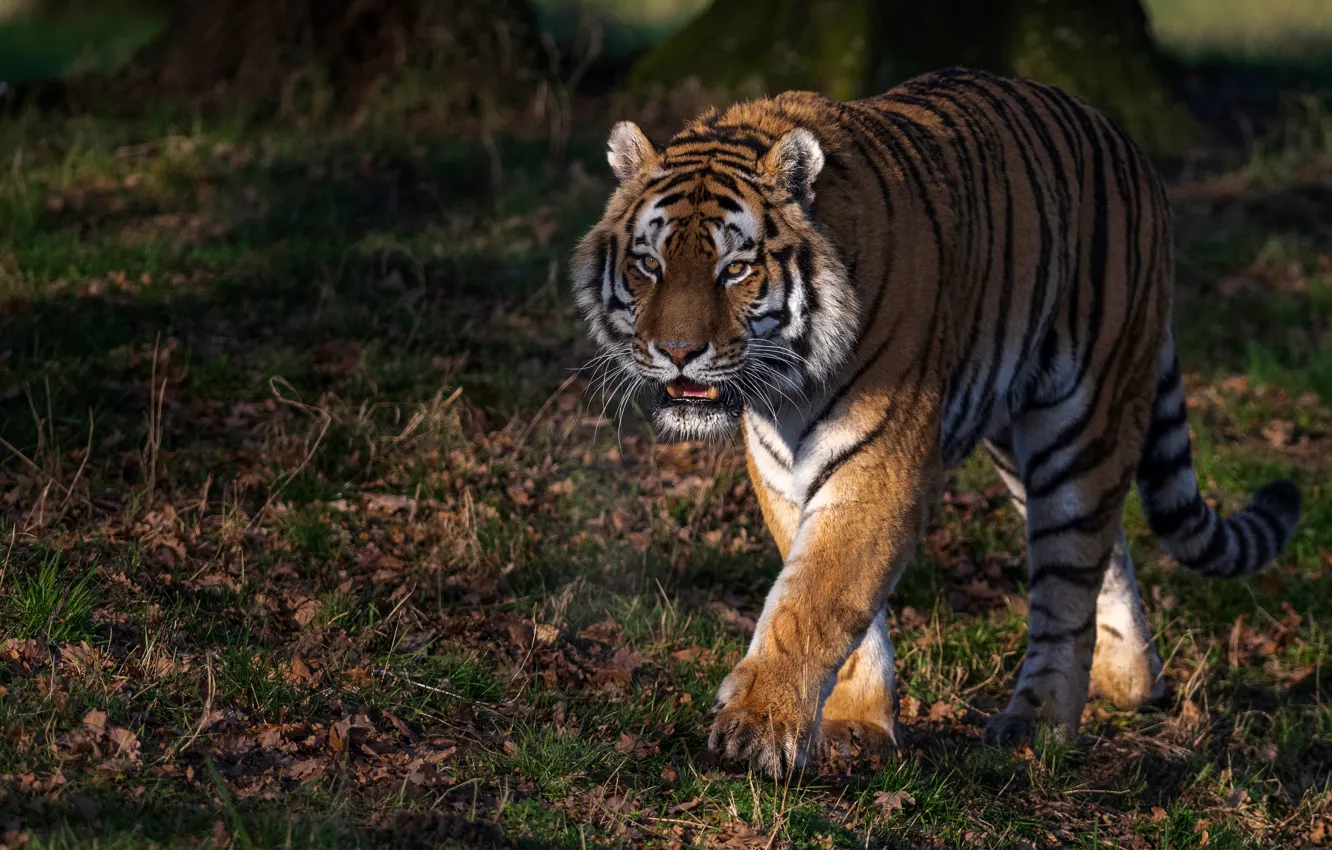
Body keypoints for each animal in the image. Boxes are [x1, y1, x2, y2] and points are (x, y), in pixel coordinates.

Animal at [571, 66, 1302, 776]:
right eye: (648, 264)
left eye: (736, 269)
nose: (678, 352)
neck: (788, 386)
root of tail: (1125, 142)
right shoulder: (782, 471)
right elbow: (835, 598)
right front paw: (857, 725)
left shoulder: (880, 460)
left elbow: (818, 596)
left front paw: (758, 727)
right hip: (1021, 442)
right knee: (1106, 545)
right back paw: (1130, 682)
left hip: (1081, 419)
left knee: (1068, 580)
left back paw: (1039, 723)